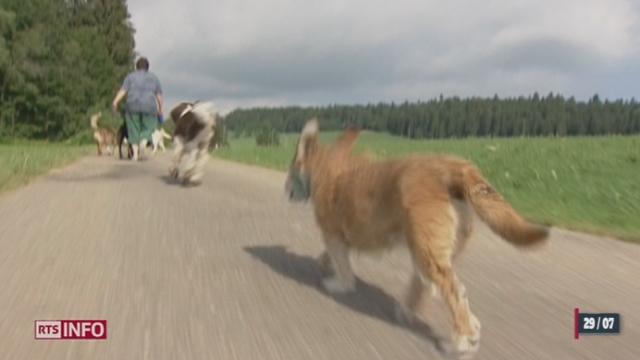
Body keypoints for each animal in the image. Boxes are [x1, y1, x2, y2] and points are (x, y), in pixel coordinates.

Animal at [286, 119, 552, 358]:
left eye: (290, 170)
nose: (286, 188)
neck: (326, 165)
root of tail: (452, 167)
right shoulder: (339, 238)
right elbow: (332, 256)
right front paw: (322, 264)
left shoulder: (333, 235)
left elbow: (342, 264)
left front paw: (339, 284)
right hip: (428, 246)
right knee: (430, 286)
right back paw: (418, 313)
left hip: (426, 250)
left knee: (454, 291)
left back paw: (462, 340)